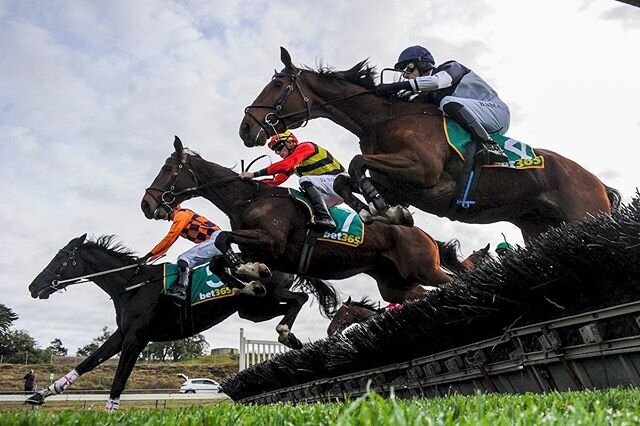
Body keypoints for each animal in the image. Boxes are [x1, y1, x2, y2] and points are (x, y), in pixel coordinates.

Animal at [25, 233, 330, 410]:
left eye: (60, 258)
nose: (32, 287)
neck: (132, 285)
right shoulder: (123, 334)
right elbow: (89, 361)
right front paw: (43, 394)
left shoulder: (137, 337)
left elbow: (118, 381)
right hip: (252, 310)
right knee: (289, 302)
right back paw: (290, 335)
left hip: (267, 297)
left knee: (299, 298)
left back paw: (285, 330)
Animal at [140, 137, 470, 302]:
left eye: (167, 168)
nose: (146, 205)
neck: (249, 199)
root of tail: (425, 236)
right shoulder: (259, 249)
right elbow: (219, 260)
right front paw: (249, 282)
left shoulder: (271, 241)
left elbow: (221, 240)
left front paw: (249, 272)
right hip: (397, 284)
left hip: (425, 269)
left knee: (453, 281)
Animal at [238, 47, 616, 240]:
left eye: (277, 85)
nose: (245, 128)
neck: (384, 118)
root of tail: (598, 183)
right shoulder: (400, 184)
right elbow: (347, 180)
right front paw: (382, 211)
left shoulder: (423, 171)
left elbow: (357, 165)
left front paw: (380, 209)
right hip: (538, 227)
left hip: (583, 214)